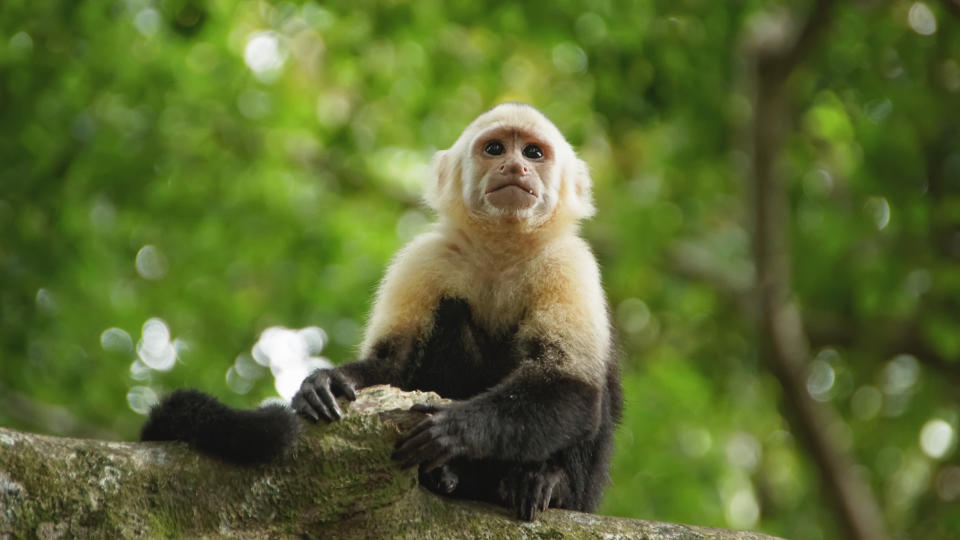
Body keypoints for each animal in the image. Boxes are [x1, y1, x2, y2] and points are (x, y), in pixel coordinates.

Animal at [142, 103, 624, 520]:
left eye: (533, 153)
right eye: (495, 149)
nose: (515, 167)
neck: (502, 249)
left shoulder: (568, 263)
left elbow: (572, 386)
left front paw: (456, 429)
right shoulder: (425, 258)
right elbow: (393, 365)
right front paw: (324, 383)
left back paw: (545, 483)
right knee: (450, 315)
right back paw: (447, 477)